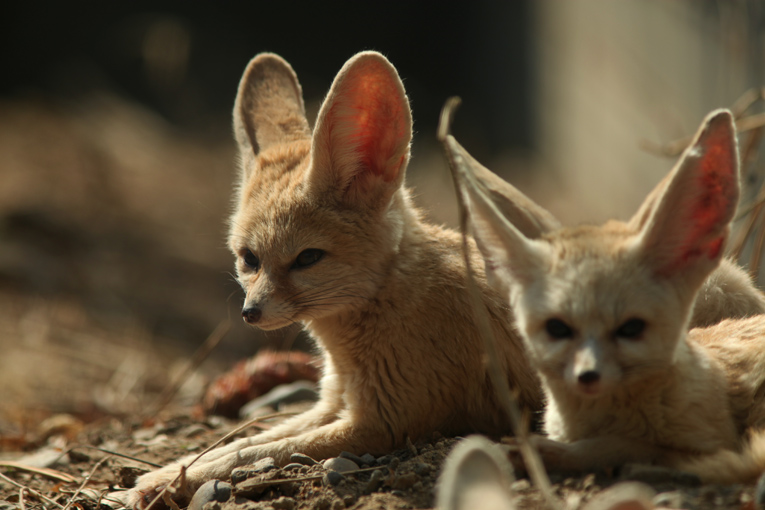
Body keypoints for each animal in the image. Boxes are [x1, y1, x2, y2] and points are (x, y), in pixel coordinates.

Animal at [450, 107, 765, 482]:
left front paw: (551, 453)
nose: (588, 376)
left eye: (631, 329)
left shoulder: (710, 440)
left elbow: (625, 446)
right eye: (557, 328)